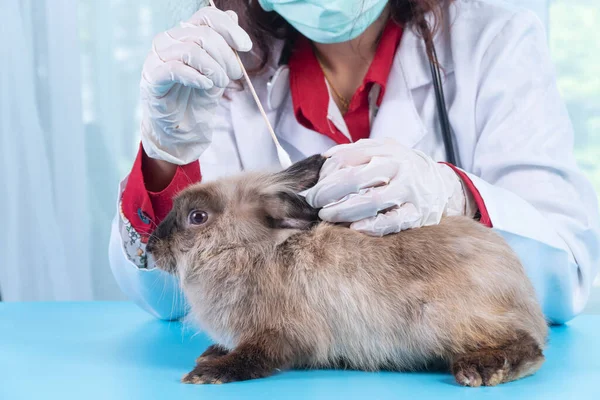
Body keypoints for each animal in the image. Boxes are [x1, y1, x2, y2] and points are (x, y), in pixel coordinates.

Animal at [148, 155, 548, 386]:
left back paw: (480, 370)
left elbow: (256, 358)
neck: (249, 251)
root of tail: (526, 299)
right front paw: (210, 354)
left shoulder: (281, 334)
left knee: (531, 348)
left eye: (197, 217)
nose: (151, 247)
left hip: (442, 319)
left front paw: (206, 373)